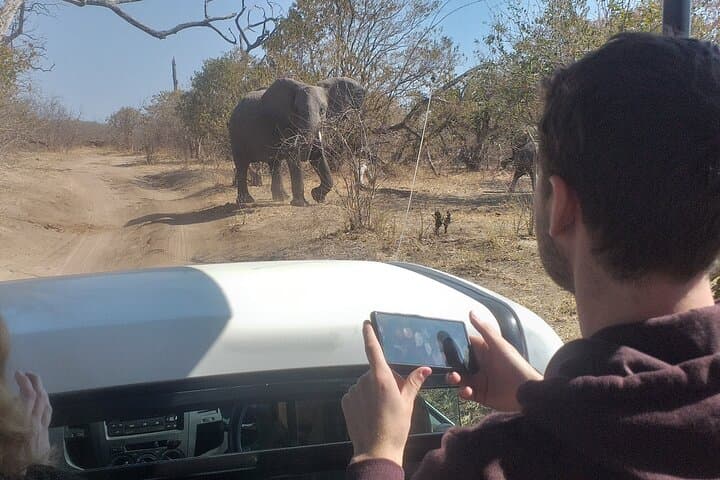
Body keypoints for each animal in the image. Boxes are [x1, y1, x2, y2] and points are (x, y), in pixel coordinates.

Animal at [228, 77, 366, 206]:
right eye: (297, 111)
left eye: (322, 111)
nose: (305, 154)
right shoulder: (284, 123)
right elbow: (293, 155)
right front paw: (301, 204)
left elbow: (318, 155)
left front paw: (317, 197)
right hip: (236, 134)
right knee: (242, 165)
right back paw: (246, 201)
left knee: (275, 164)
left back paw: (281, 198)